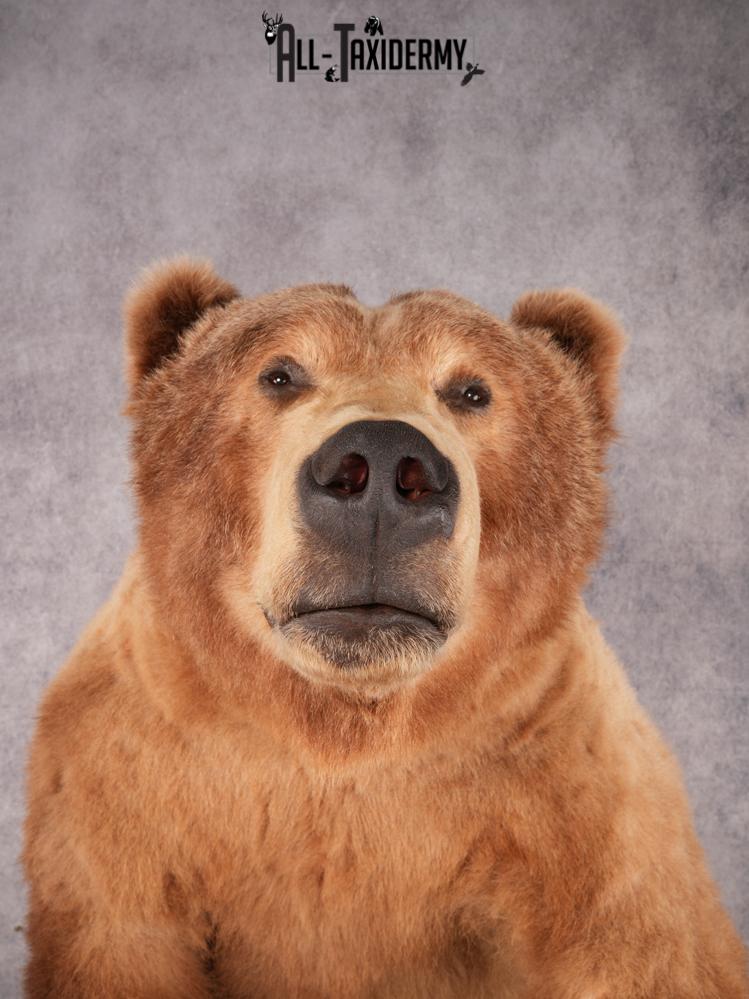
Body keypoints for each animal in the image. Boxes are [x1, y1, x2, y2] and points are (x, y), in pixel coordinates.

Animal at [22, 257, 748, 998]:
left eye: (471, 390)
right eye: (279, 373)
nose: (377, 463)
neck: (349, 728)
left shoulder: (577, 812)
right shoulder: (132, 789)